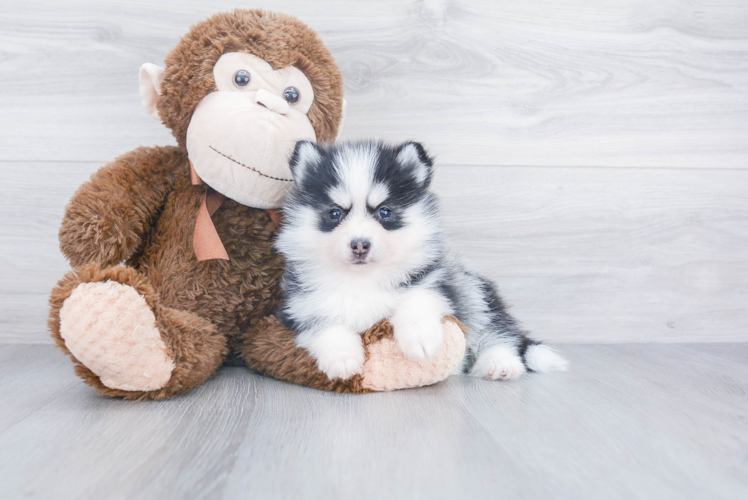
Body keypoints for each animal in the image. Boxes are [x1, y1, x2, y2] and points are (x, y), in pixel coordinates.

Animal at [274, 141, 568, 382]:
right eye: (335, 213)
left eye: (384, 212)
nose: (359, 244)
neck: (364, 279)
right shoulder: (301, 304)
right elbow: (326, 324)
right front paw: (342, 358)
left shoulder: (433, 280)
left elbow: (416, 299)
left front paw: (419, 338)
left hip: (472, 290)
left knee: (495, 331)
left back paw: (499, 364)